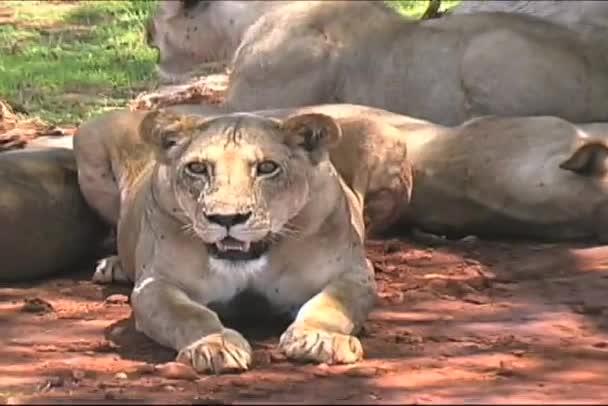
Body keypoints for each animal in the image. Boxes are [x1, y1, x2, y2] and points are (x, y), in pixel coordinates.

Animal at [72, 108, 380, 374]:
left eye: (267, 167)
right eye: (197, 168)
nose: (226, 218)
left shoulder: (356, 272)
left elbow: (332, 304)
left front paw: (320, 339)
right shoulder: (155, 283)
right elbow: (188, 314)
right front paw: (213, 345)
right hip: (90, 156)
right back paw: (112, 266)